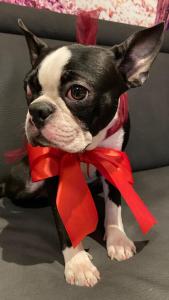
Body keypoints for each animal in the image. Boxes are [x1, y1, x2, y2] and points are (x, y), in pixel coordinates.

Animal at [0, 19, 164, 288]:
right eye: (29, 88)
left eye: (78, 92)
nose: (37, 110)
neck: (86, 149)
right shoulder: (55, 174)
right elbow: (63, 220)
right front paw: (77, 262)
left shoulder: (113, 162)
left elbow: (114, 205)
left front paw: (117, 238)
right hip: (26, 181)